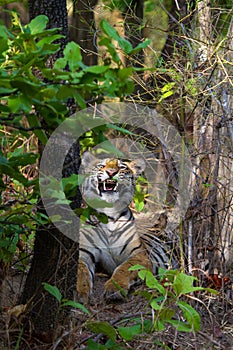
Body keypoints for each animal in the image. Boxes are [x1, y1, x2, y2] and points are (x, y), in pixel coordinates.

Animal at [76, 152, 177, 302]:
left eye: (122, 167)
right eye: (101, 166)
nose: (111, 172)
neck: (109, 215)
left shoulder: (138, 255)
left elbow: (123, 269)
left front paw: (114, 288)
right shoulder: (84, 253)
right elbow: (80, 272)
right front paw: (79, 293)